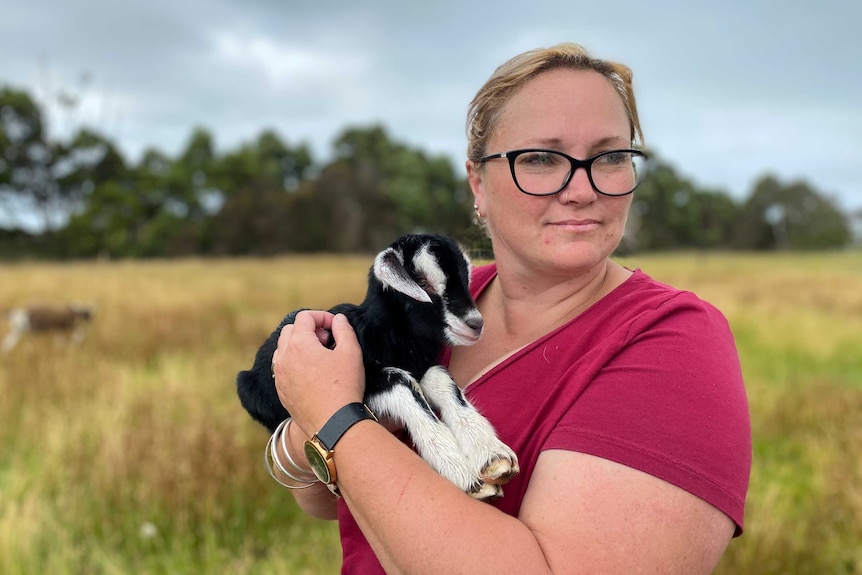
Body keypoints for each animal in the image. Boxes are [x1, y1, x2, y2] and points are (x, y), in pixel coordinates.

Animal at [236, 234, 520, 500]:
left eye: (466, 278)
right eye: (423, 283)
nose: (475, 323)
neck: (383, 334)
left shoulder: (423, 366)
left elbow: (441, 380)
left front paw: (491, 454)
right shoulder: (368, 380)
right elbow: (402, 382)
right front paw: (459, 470)